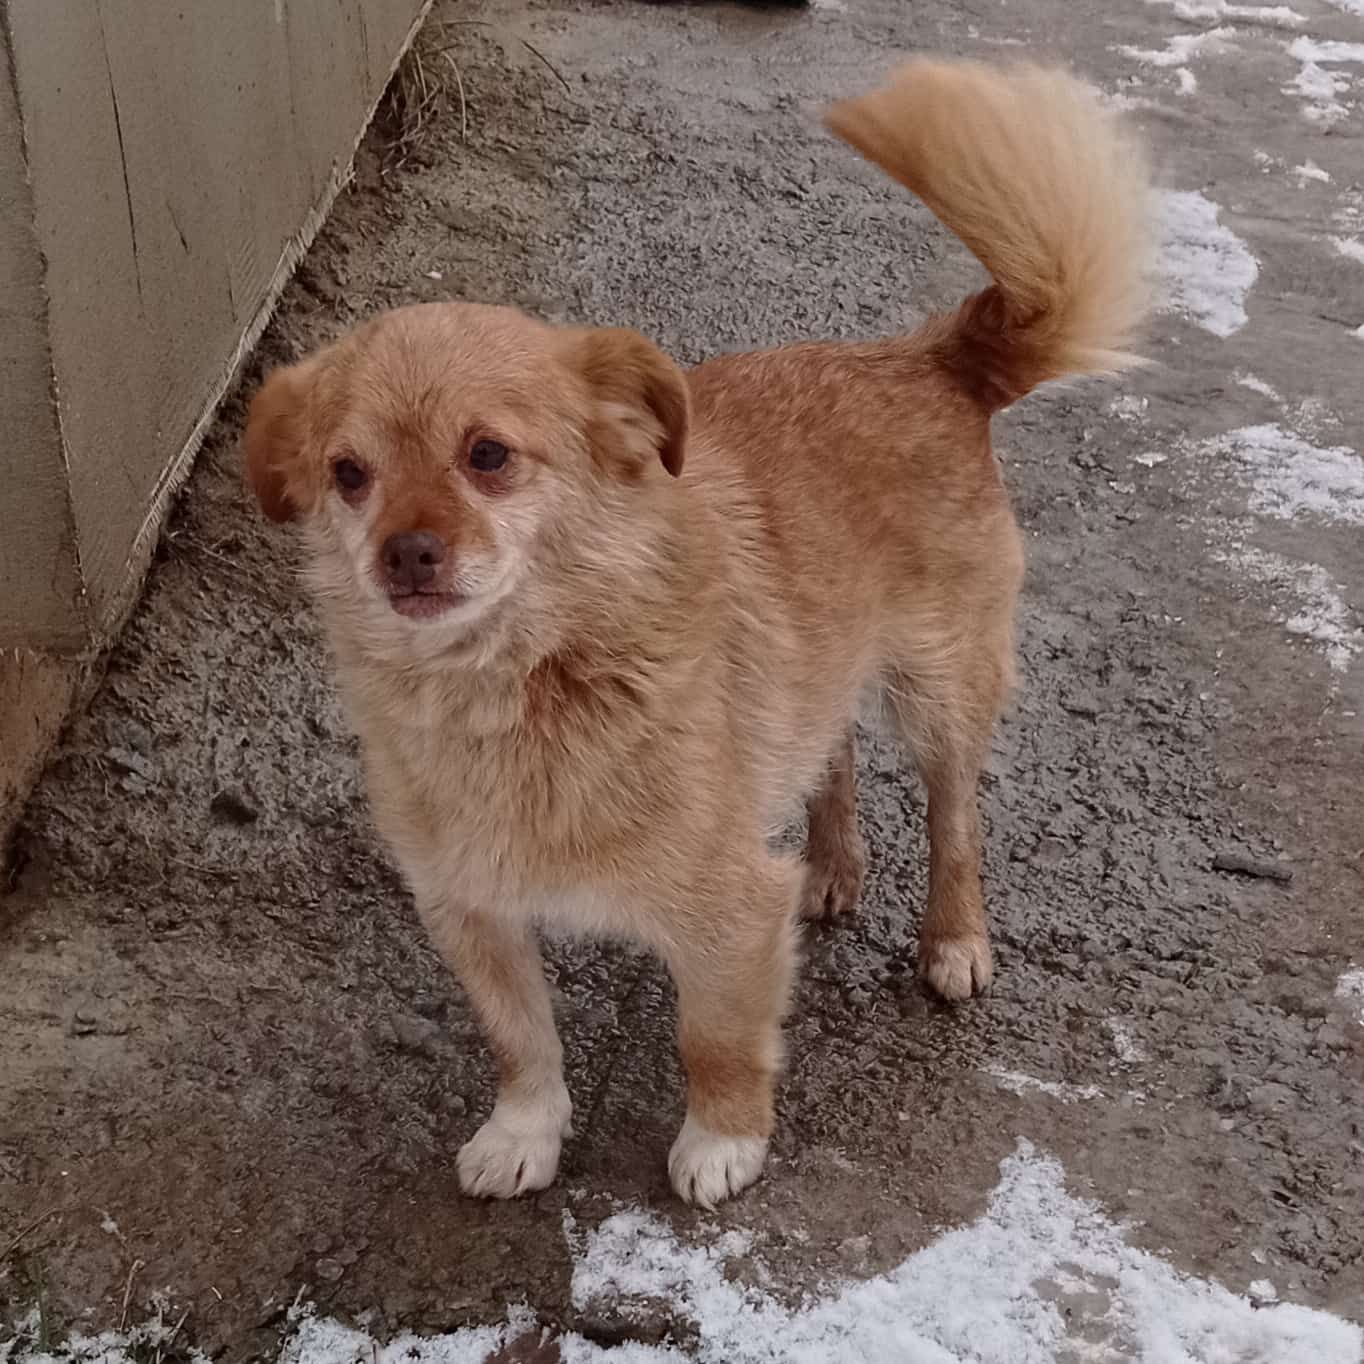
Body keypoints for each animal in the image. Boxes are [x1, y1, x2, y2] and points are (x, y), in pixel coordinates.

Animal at [244, 58, 1150, 1208]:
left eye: (488, 455)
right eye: (347, 474)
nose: (404, 553)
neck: (518, 681)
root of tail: (930, 357)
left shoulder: (726, 913)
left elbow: (713, 1037)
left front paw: (722, 1142)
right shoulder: (471, 910)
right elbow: (521, 1041)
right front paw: (524, 1133)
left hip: (938, 691)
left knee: (955, 820)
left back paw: (953, 939)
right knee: (828, 749)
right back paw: (831, 863)